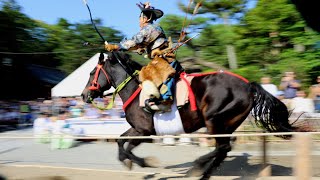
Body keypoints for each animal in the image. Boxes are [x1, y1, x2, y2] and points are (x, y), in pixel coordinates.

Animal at [81, 51, 304, 179]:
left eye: (92, 73)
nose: (84, 95)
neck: (137, 91)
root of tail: (249, 85)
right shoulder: (137, 128)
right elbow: (120, 142)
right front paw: (128, 162)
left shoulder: (145, 130)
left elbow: (127, 147)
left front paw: (145, 162)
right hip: (228, 123)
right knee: (223, 149)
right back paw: (203, 171)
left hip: (214, 119)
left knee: (223, 147)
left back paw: (198, 167)